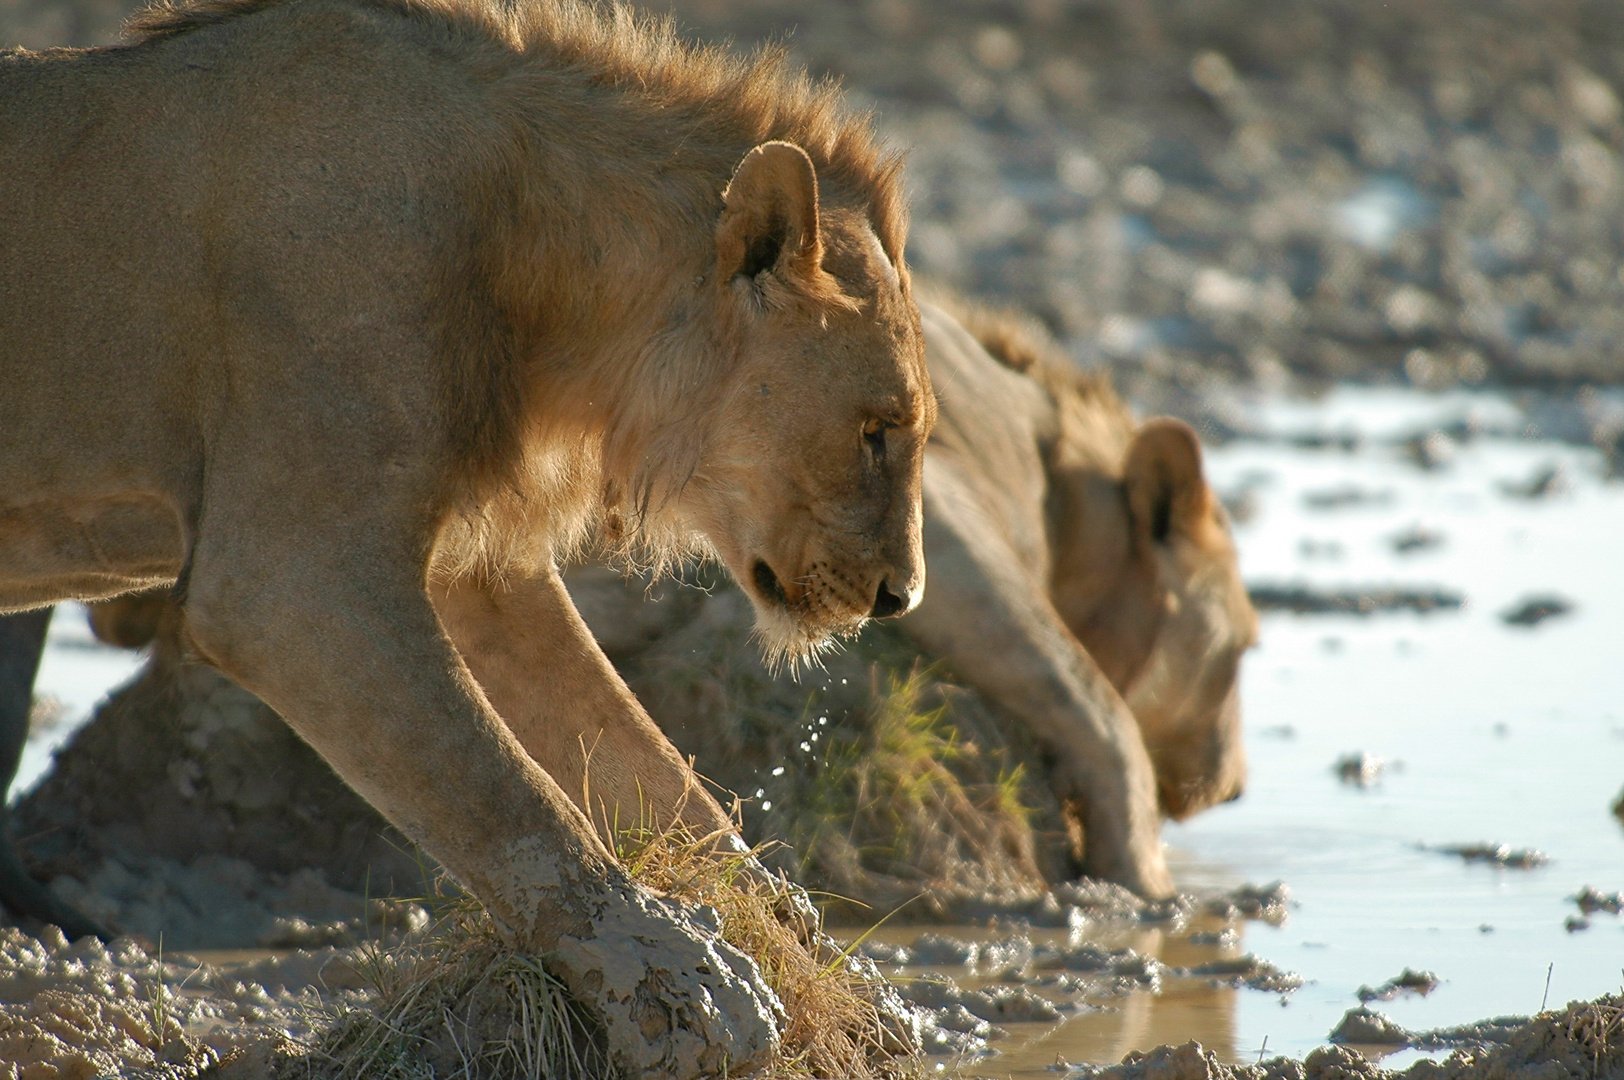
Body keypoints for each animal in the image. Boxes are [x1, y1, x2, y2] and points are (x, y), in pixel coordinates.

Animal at [3, 0, 941, 1071]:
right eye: (878, 429)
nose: (901, 597)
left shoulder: (485, 570)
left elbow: (639, 758)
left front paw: (817, 963)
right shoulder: (290, 578)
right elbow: (505, 797)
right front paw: (684, 984)